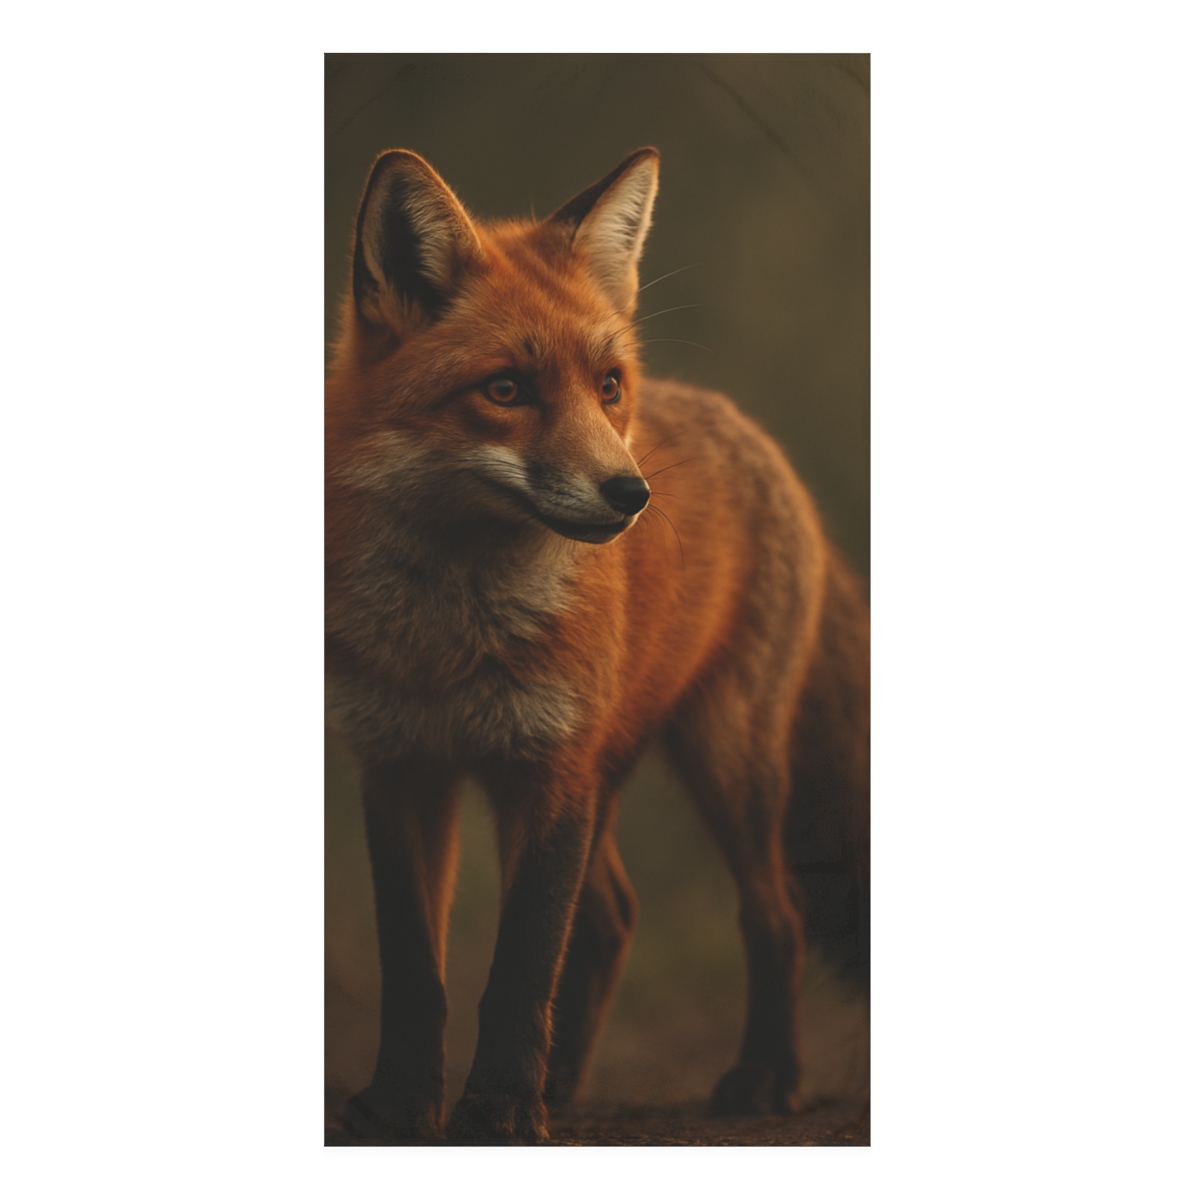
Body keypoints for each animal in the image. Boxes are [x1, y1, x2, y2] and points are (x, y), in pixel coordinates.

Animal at [325, 146, 869, 1145]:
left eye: (608, 386)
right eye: (505, 390)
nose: (632, 494)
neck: (447, 636)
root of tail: (748, 428)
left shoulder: (548, 769)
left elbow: (520, 968)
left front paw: (499, 1110)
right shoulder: (398, 766)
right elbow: (417, 969)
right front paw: (400, 1105)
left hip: (725, 759)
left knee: (776, 912)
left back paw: (766, 1077)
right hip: (610, 771)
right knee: (614, 916)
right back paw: (567, 1081)